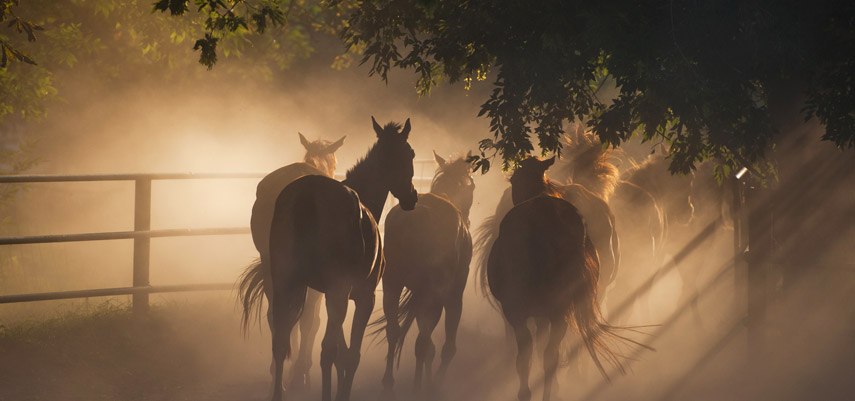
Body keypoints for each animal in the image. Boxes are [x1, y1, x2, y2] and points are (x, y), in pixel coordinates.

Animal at [249, 117, 420, 400]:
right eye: (411, 154)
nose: (412, 197)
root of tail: (306, 194)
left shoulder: (330, 294)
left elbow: (338, 352)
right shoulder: (362, 296)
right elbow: (348, 355)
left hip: (283, 282)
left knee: (281, 337)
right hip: (333, 292)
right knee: (322, 347)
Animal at [378, 152, 478, 396]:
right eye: (471, 185)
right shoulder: (452, 294)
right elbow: (446, 347)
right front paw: (434, 384)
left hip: (392, 283)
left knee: (394, 331)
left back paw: (388, 383)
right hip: (435, 293)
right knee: (423, 343)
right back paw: (417, 389)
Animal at [484, 155, 640, 400]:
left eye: (513, 179)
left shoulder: (517, 312)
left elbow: (526, 356)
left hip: (531, 309)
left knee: (531, 355)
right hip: (562, 309)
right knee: (551, 354)